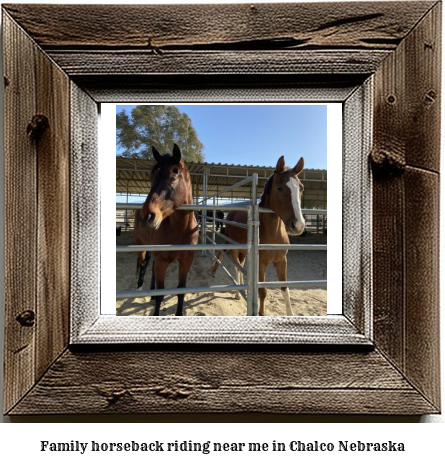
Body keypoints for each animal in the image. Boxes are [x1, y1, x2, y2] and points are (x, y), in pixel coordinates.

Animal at [133, 142, 199, 316]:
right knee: (143, 263)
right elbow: (160, 294)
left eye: (174, 175)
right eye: (152, 176)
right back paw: (140, 287)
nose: (147, 216)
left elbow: (181, 291)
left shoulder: (186, 260)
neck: (180, 230)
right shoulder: (162, 261)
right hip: (141, 246)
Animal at [206, 156, 304, 316]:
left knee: (241, 266)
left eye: (301, 188)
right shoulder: (261, 264)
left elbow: (285, 290)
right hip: (235, 250)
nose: (298, 225)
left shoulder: (282, 261)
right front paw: (261, 313)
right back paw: (238, 293)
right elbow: (262, 291)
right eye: (279, 188)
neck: (273, 235)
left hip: (245, 253)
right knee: (238, 268)